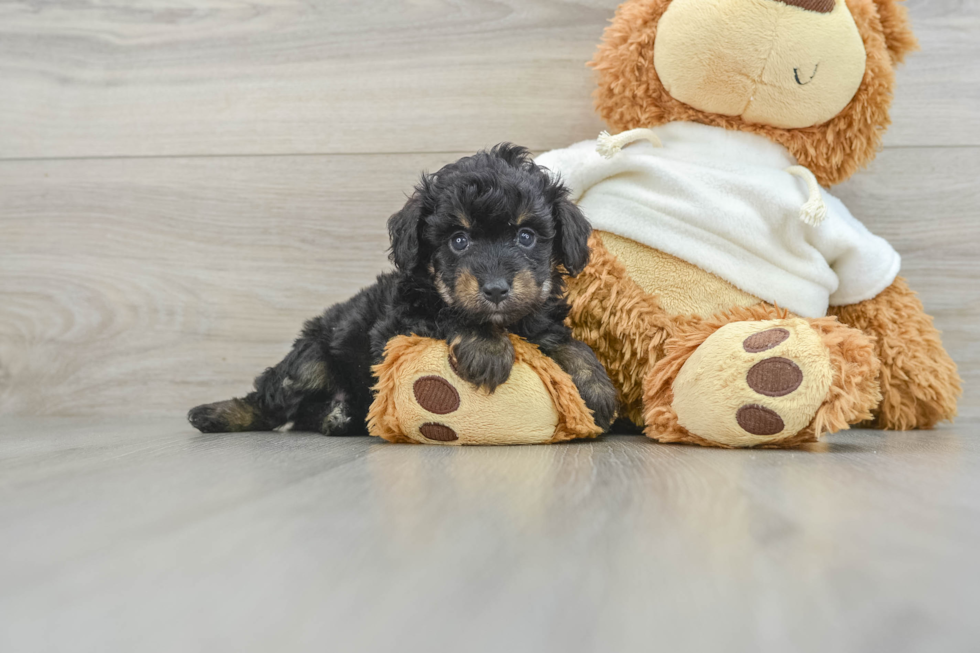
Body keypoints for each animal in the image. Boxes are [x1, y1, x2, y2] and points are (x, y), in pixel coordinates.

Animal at [189, 145, 616, 436]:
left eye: (526, 236)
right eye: (459, 240)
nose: (495, 289)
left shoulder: (539, 318)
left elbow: (568, 342)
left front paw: (596, 386)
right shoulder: (398, 325)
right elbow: (447, 313)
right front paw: (487, 347)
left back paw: (338, 417)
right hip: (310, 360)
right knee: (271, 401)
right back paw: (213, 414)